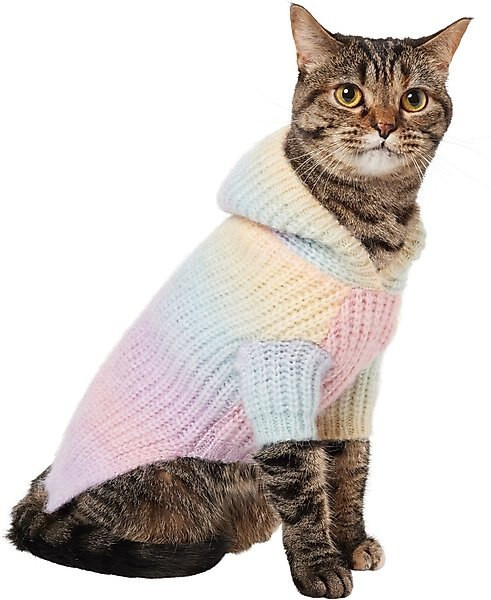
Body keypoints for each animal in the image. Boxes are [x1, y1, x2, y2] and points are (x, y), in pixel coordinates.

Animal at [8, 5, 469, 599]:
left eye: (414, 99)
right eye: (349, 94)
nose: (386, 126)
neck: (372, 228)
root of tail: (42, 489)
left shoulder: (356, 382)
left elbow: (350, 467)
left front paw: (351, 538)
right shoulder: (278, 368)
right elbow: (302, 486)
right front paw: (319, 564)